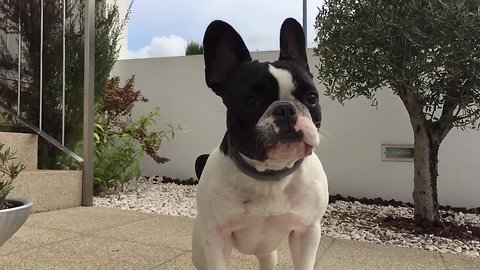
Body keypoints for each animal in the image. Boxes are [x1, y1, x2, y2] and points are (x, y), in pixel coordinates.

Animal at [193, 17, 328, 268]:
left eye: (311, 98)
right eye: (251, 101)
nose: (285, 109)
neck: (270, 175)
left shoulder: (307, 232)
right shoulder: (216, 238)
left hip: (268, 252)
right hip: (200, 249)